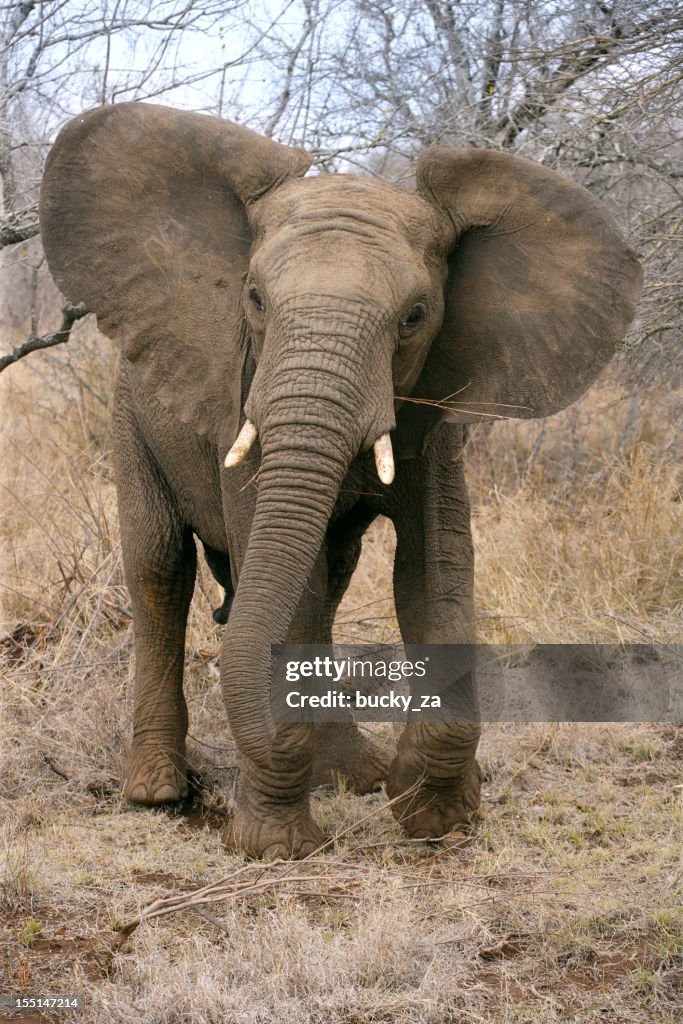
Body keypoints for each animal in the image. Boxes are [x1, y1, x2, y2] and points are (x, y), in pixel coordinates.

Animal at [38, 101, 643, 856]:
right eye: (254, 298)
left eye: (414, 316)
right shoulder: (242, 399)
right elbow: (278, 571)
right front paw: (275, 847)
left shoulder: (437, 414)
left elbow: (433, 569)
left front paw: (430, 812)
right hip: (131, 414)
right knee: (159, 568)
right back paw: (157, 794)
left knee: (332, 574)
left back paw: (352, 775)